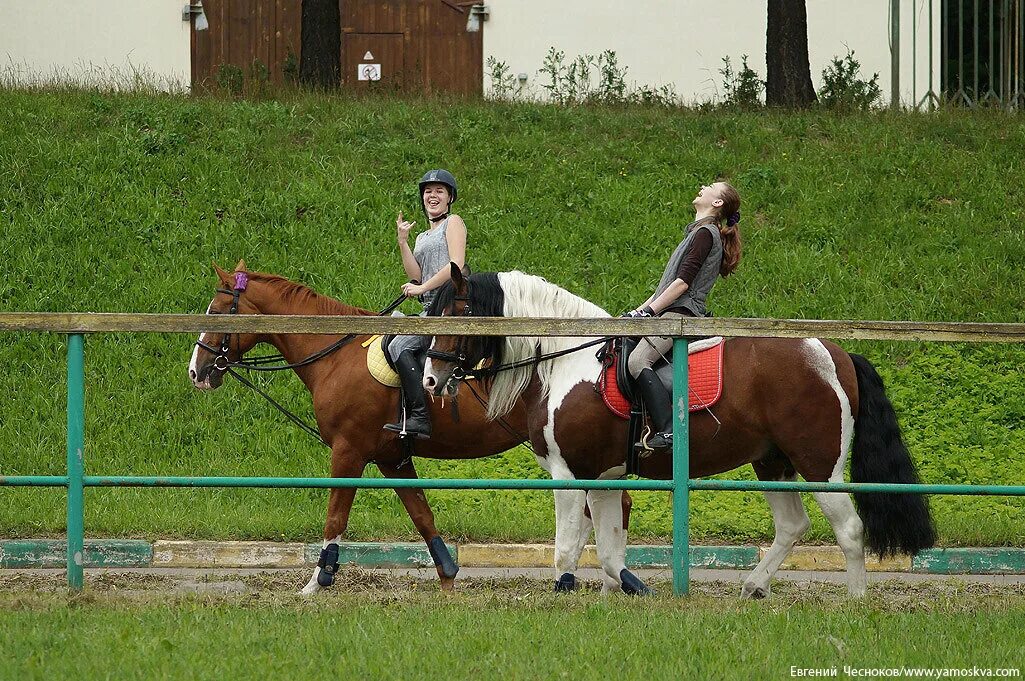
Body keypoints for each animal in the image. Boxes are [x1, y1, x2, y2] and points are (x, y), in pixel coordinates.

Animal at [424, 266, 938, 594]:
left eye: (455, 313)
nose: (430, 378)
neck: (565, 361)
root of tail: (835, 352)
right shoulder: (604, 477)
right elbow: (608, 552)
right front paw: (627, 591)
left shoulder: (568, 474)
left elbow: (567, 551)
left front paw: (567, 592)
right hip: (772, 462)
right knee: (793, 526)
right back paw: (753, 587)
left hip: (819, 465)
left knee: (849, 529)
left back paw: (856, 602)